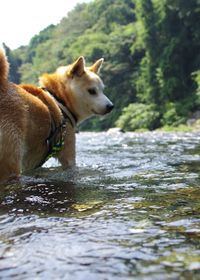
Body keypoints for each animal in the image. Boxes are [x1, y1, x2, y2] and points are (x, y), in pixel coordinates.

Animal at [0, 48, 113, 182]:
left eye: (102, 90)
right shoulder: (69, 154)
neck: (60, 100)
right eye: (92, 91)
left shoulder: (31, 162)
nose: (111, 106)